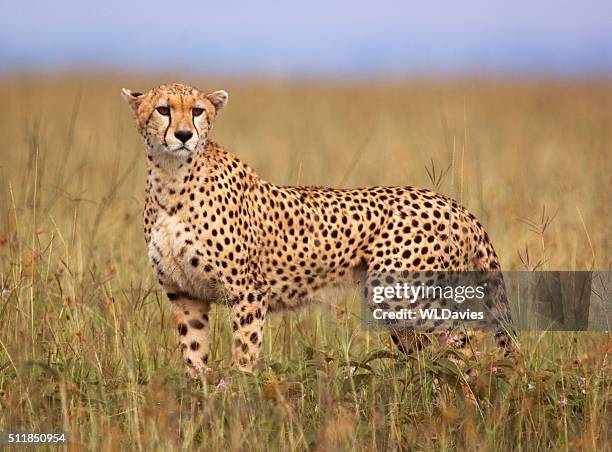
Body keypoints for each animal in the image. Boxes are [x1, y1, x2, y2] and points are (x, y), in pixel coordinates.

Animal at [122, 83, 512, 376]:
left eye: (198, 111)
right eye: (163, 110)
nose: (184, 134)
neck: (171, 178)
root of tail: (453, 203)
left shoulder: (247, 290)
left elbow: (244, 352)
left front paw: (235, 397)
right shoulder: (185, 294)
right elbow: (194, 356)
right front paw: (200, 399)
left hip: (403, 294)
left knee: (465, 344)